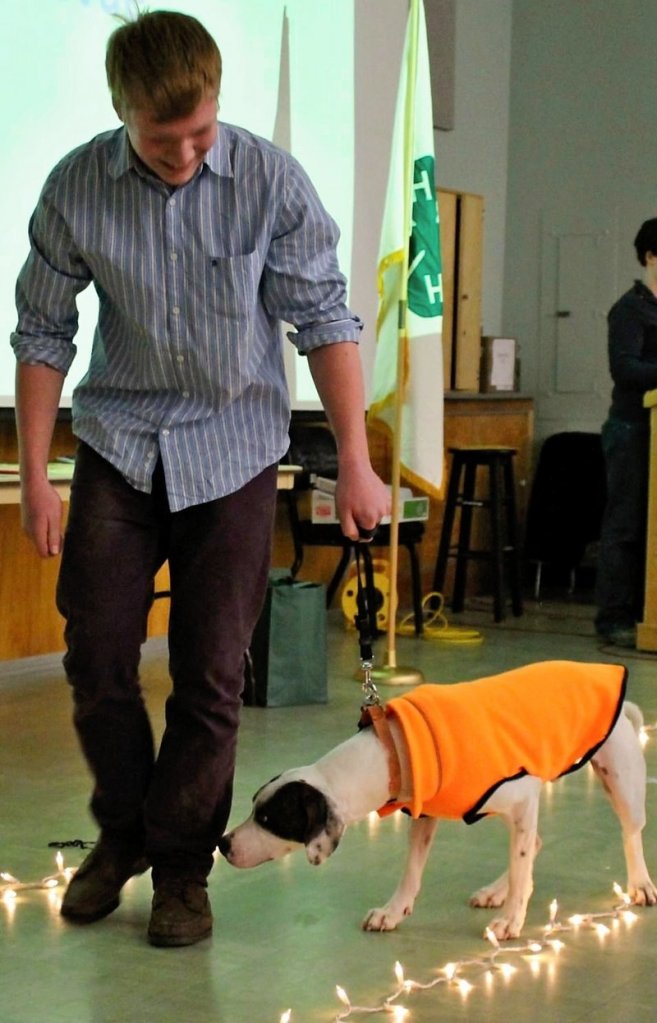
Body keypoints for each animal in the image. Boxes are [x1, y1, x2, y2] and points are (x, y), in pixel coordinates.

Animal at [220, 658, 654, 937]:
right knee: (534, 844)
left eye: (270, 820)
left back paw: (640, 884)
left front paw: (512, 920)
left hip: (620, 779)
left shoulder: (521, 796)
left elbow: (520, 867)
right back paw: (496, 891)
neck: (388, 751)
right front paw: (394, 912)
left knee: (629, 836)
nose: (222, 844)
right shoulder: (425, 813)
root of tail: (603, 669)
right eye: (252, 807)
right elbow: (412, 871)